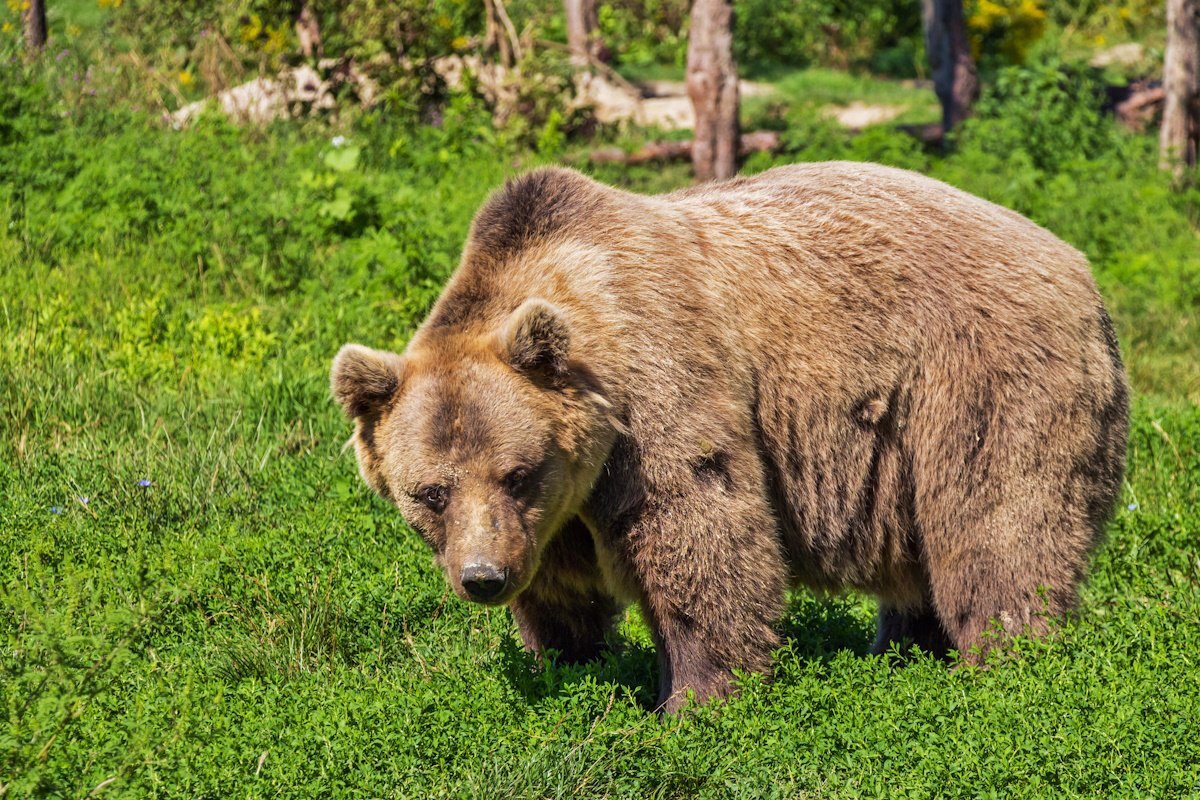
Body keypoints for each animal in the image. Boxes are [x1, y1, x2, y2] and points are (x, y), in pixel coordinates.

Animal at [331, 162, 1129, 713]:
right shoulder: (555, 510)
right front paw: (570, 662)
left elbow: (700, 533)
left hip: (979, 381)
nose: (482, 578)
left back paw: (1005, 661)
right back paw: (902, 651)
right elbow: (561, 589)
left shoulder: (657, 393)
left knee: (998, 526)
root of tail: (1080, 267)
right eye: (430, 493)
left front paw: (694, 700)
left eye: (516, 471)